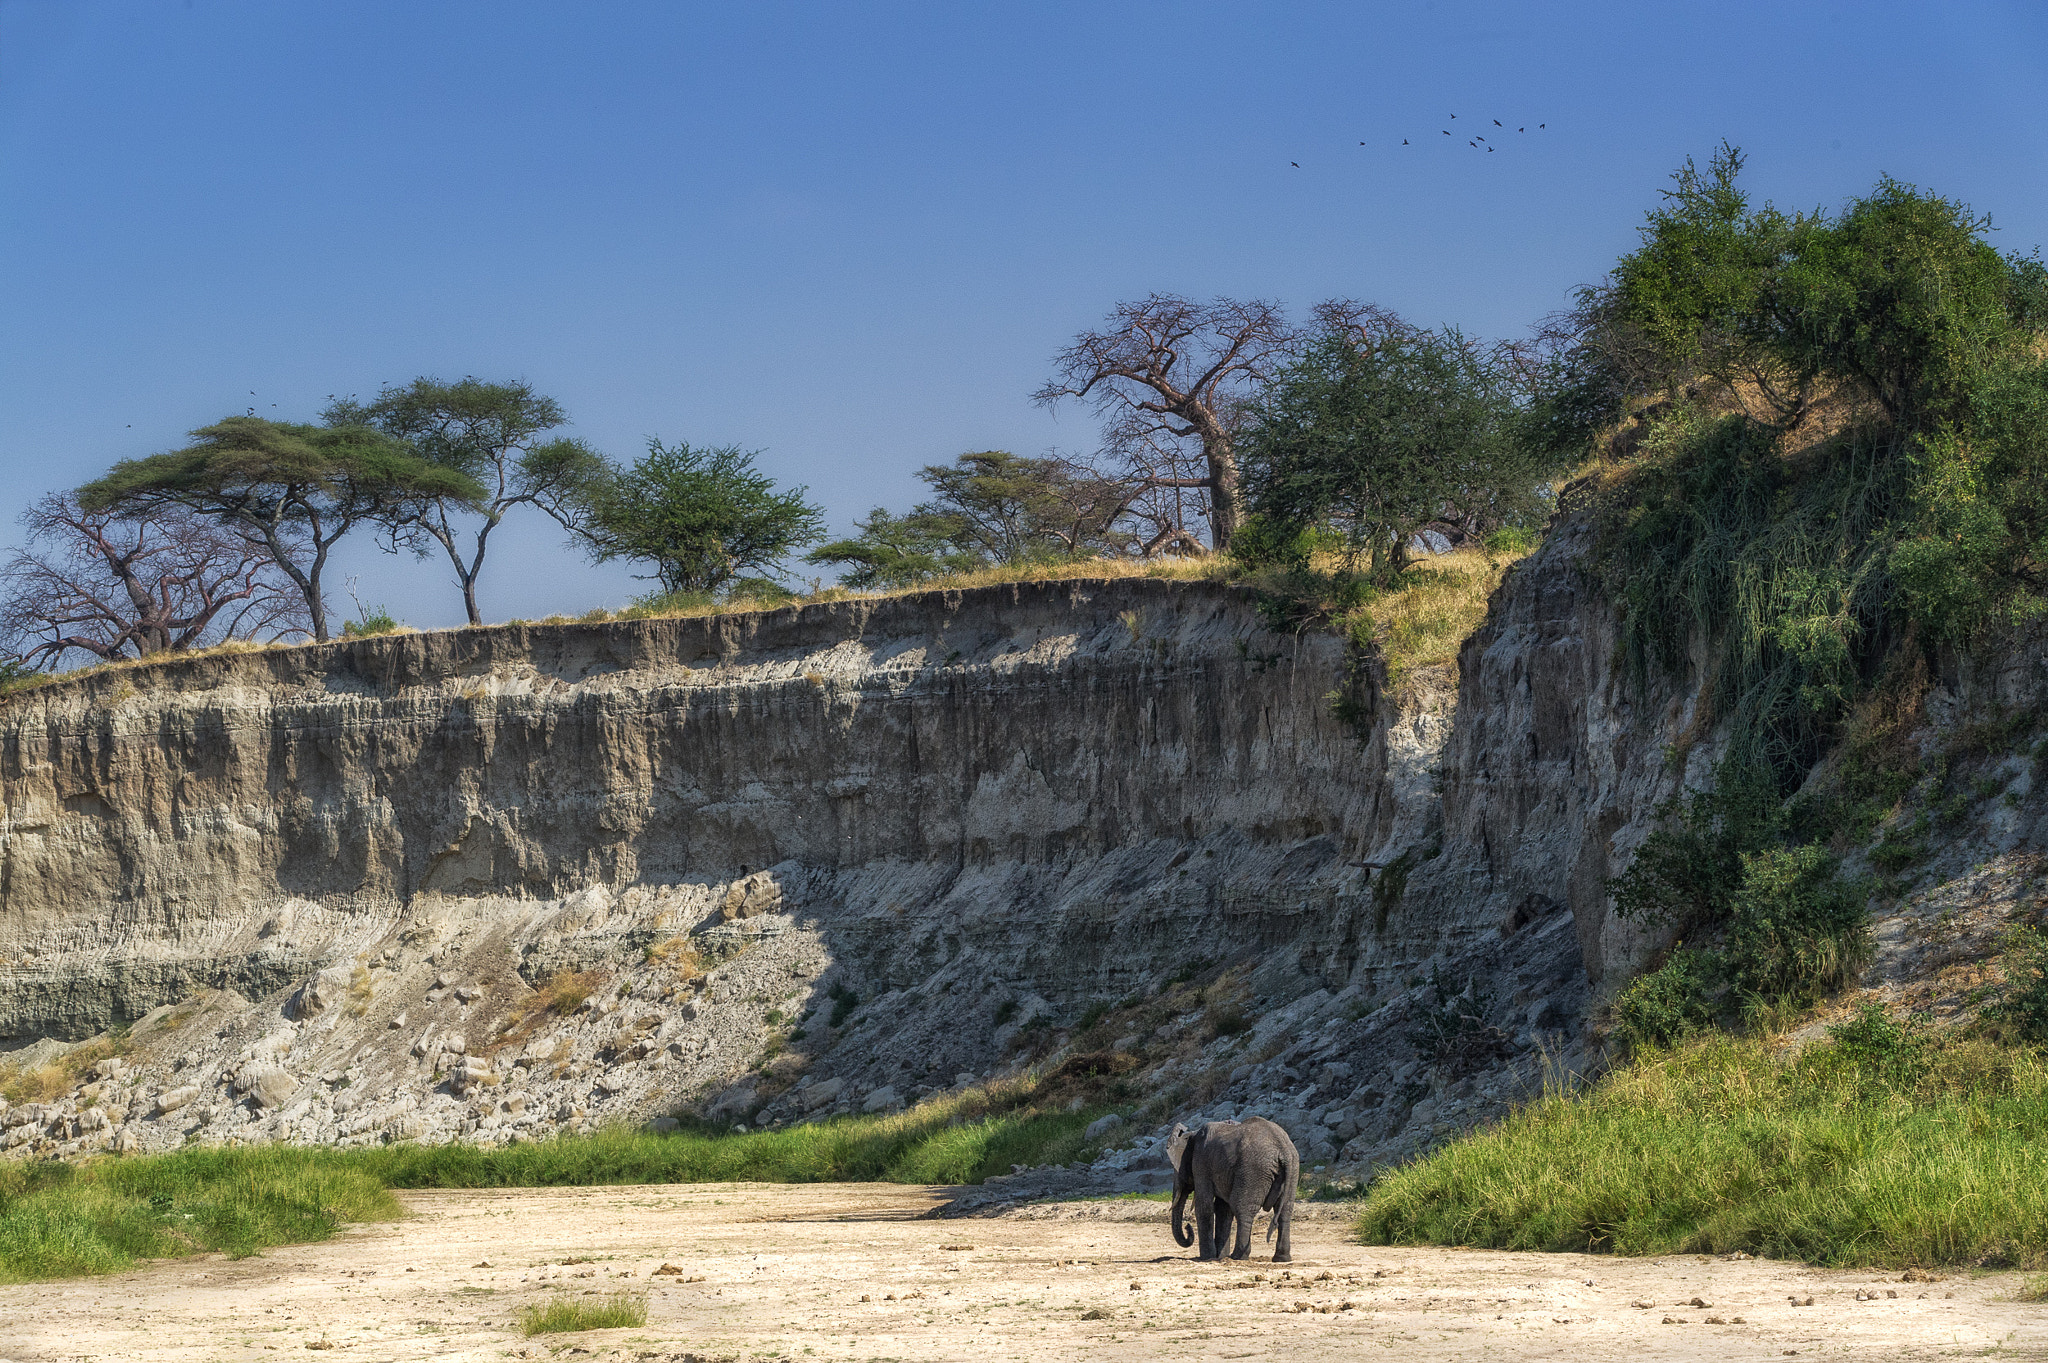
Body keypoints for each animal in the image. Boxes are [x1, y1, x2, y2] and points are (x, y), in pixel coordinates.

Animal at [1168, 1116, 1298, 1262]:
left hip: (1253, 1170)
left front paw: (1207, 1257)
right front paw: (1219, 1256)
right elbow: (1222, 1209)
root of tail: (1283, 1148)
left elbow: (1204, 1206)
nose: (1187, 1227)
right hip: (1293, 1169)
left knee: (1242, 1208)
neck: (1192, 1134)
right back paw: (1282, 1258)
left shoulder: (1201, 1163)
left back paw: (1238, 1256)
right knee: (1285, 1211)